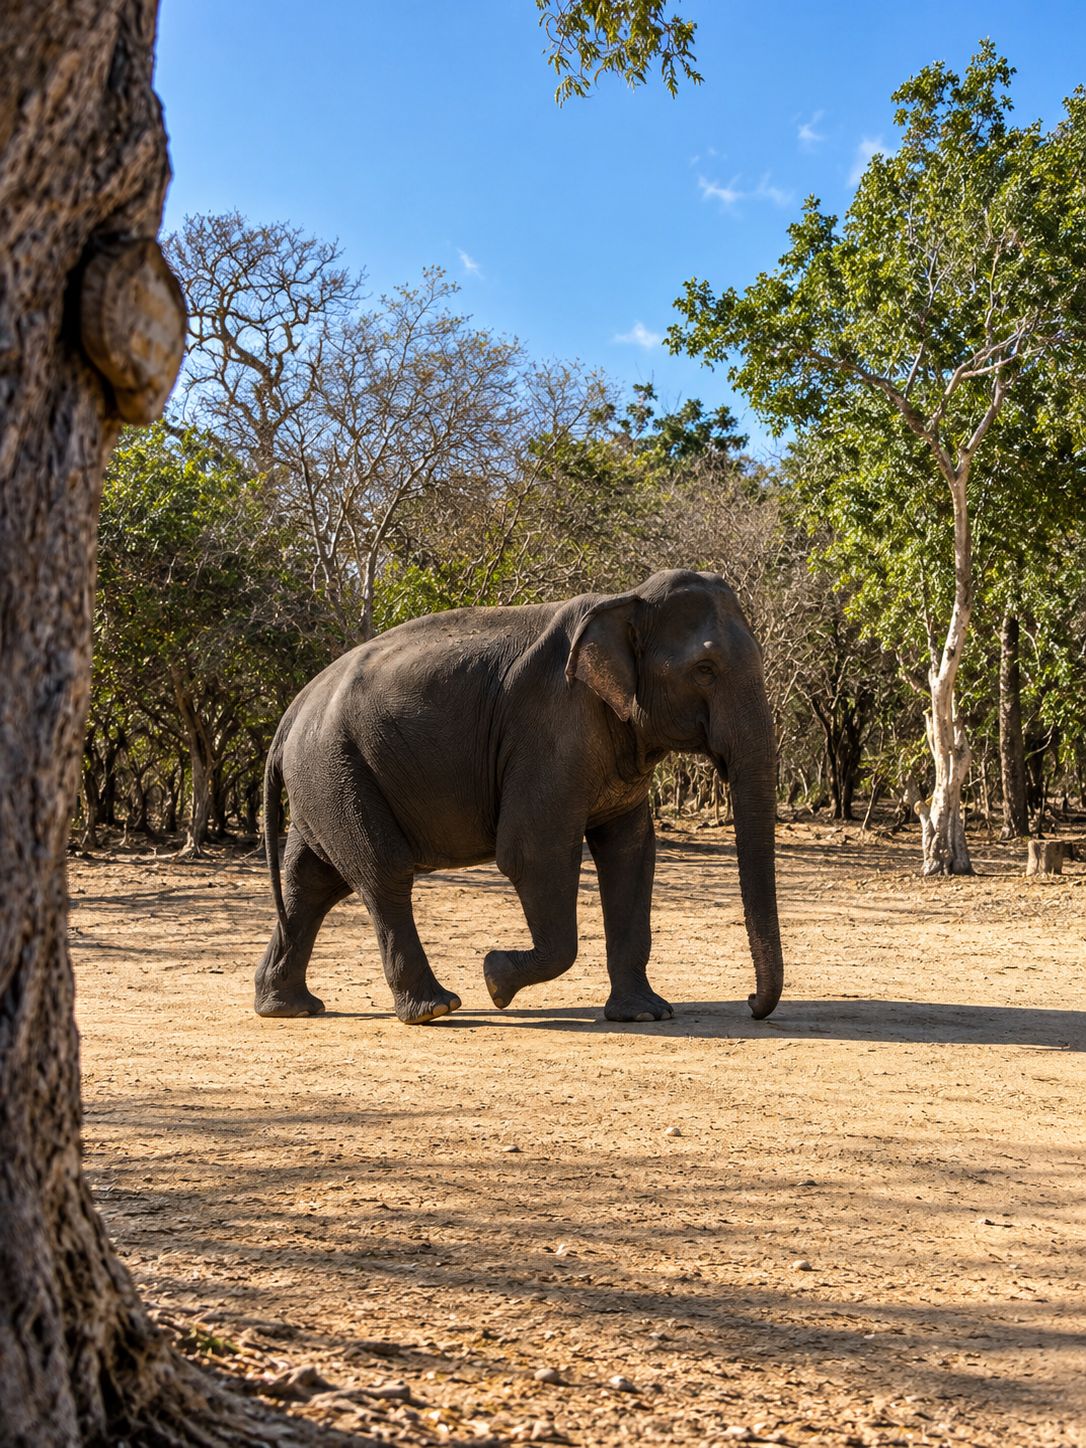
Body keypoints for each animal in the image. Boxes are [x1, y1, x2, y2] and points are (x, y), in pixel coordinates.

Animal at [254, 569, 784, 1025]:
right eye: (705, 669)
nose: (750, 1002)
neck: (626, 599)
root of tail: (291, 713)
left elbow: (630, 853)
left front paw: (646, 1014)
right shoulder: (550, 728)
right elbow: (533, 853)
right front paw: (495, 979)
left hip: (325, 776)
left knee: (311, 882)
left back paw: (287, 1008)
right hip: (336, 768)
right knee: (382, 873)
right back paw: (435, 1009)